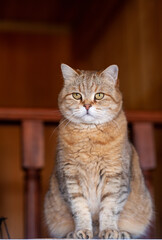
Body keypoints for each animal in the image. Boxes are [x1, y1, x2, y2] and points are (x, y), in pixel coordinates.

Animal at [44, 63, 153, 238]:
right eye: (76, 95)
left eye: (99, 95)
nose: (87, 105)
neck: (90, 135)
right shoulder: (70, 179)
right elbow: (80, 209)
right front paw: (82, 231)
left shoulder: (115, 177)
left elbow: (109, 209)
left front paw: (109, 230)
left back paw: (122, 233)